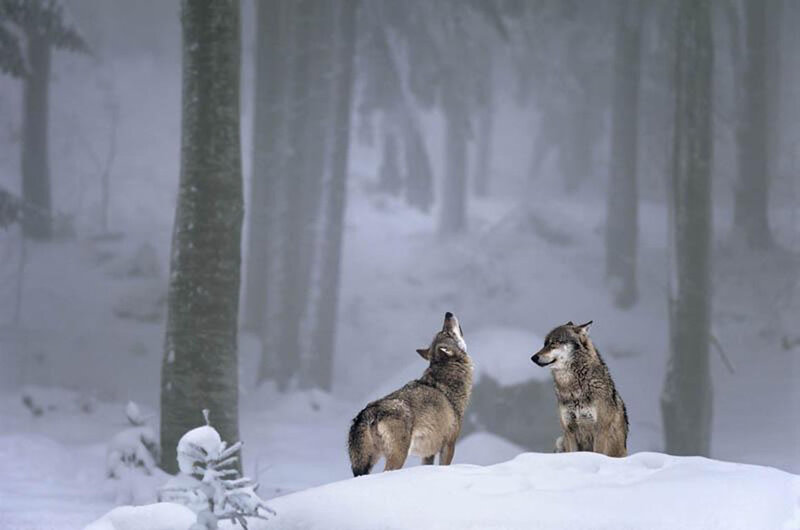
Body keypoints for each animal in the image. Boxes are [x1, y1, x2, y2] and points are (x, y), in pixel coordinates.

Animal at [347, 312, 473, 476]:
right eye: (447, 332)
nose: (448, 313)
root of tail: (368, 412)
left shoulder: (428, 453)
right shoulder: (449, 444)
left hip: (367, 464)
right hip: (398, 456)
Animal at [531, 321, 628, 457]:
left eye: (554, 342)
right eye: (544, 344)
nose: (533, 357)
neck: (575, 391)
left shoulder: (600, 431)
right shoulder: (569, 431)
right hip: (560, 441)